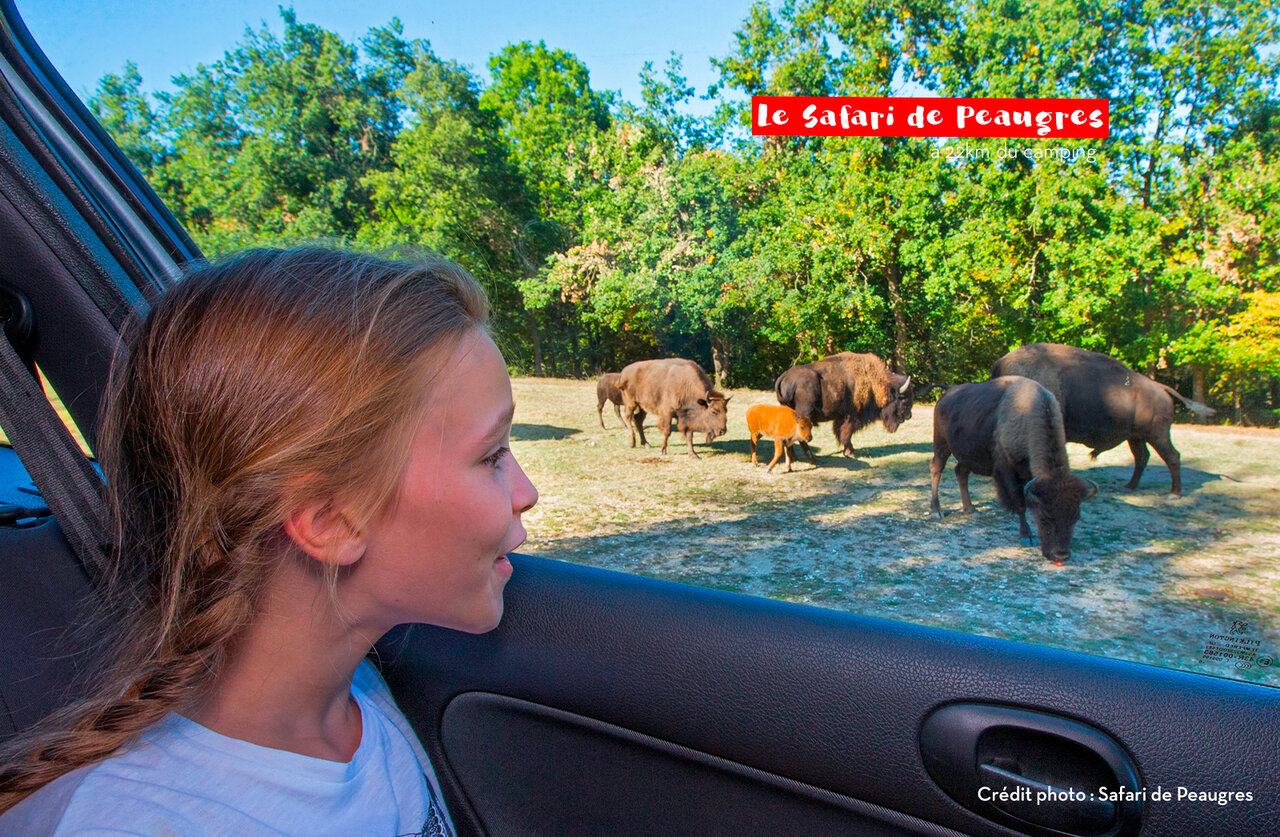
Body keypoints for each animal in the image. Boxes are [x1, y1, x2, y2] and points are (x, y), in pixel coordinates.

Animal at [775, 352, 912, 459]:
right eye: (904, 400)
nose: (909, 416)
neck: (873, 383)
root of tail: (784, 378)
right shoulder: (851, 416)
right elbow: (846, 434)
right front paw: (850, 453)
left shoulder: (841, 417)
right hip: (804, 414)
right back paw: (811, 458)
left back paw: (794, 457)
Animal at [930, 376, 1098, 562]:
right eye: (1045, 517)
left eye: (1075, 517)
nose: (1061, 555)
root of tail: (948, 391)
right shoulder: (1007, 468)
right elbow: (1019, 502)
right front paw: (1027, 536)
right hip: (942, 445)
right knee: (936, 469)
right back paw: (937, 511)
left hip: (966, 455)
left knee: (961, 473)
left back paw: (971, 509)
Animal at [991, 343, 1215, 496]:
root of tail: (1161, 388)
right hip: (1136, 437)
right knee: (1142, 457)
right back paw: (1129, 487)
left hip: (1157, 435)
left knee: (1172, 456)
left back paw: (1174, 493)